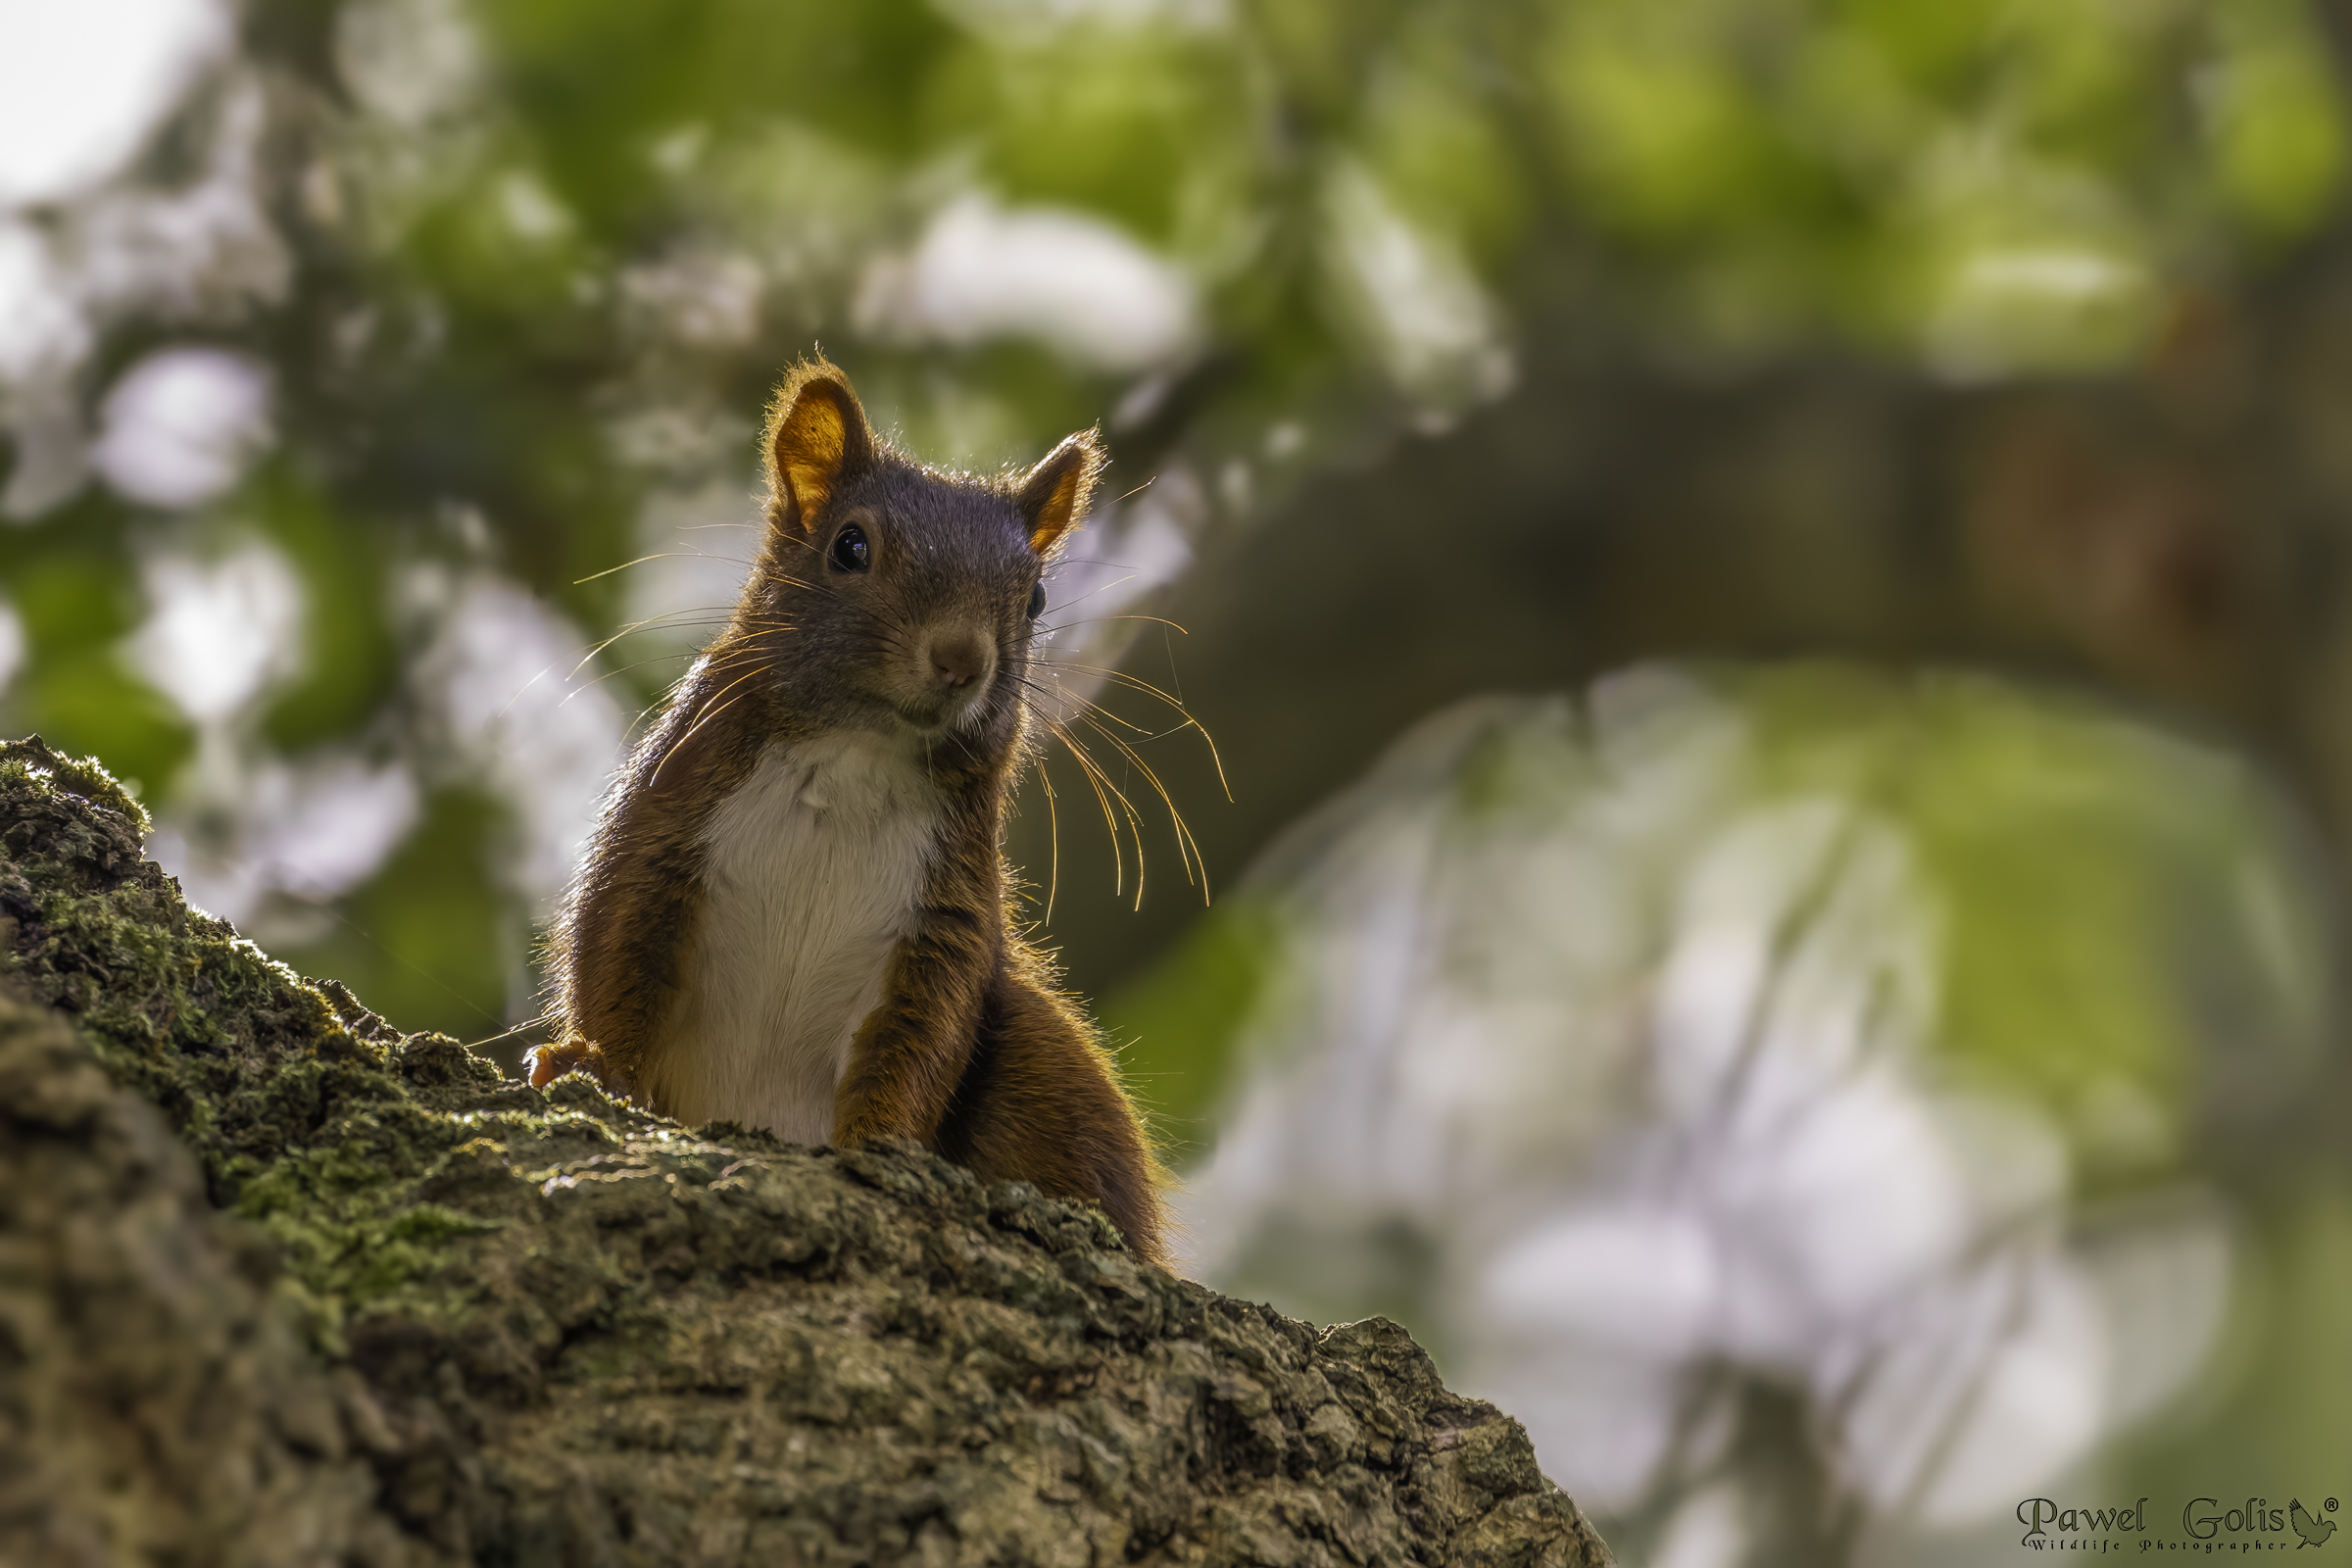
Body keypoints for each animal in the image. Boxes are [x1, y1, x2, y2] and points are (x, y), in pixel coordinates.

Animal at [526, 359, 1168, 1265]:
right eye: (850, 547)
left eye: (1037, 597)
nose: (962, 659)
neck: (857, 759)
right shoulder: (662, 829)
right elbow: (615, 953)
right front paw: (594, 1063)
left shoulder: (944, 920)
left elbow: (919, 1043)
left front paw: (882, 1149)